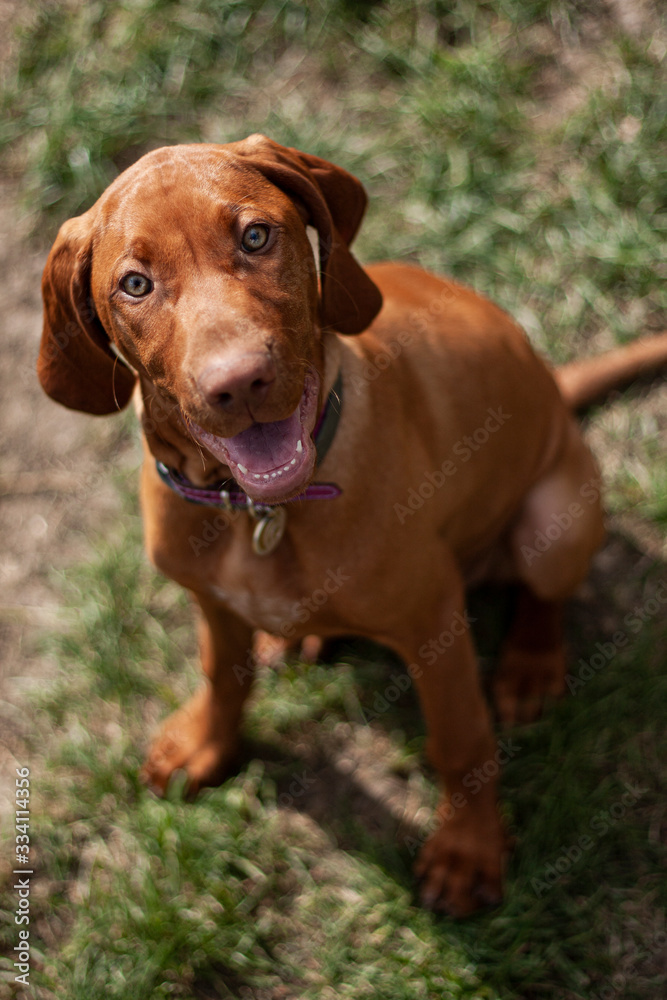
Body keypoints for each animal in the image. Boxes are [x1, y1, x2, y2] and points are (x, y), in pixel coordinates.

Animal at [37, 137, 667, 916]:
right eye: (134, 284)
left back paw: (529, 664)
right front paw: (206, 744)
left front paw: (467, 851)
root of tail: (555, 383)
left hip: (552, 518)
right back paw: (295, 637)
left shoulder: (433, 625)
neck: (261, 512)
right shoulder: (210, 600)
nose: (238, 383)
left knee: (545, 592)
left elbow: (460, 741)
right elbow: (221, 674)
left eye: (256, 237)